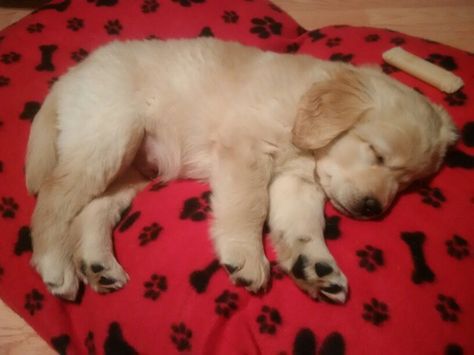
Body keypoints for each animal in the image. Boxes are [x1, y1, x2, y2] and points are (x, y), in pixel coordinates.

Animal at [24, 37, 458, 304]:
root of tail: (70, 75)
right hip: (109, 137)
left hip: (129, 169)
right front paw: (246, 255)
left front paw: (316, 266)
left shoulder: (296, 181)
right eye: (377, 154)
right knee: (53, 199)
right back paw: (54, 264)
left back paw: (99, 267)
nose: (373, 209)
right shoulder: (246, 152)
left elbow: (302, 225)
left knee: (92, 211)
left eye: (407, 183)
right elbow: (250, 206)